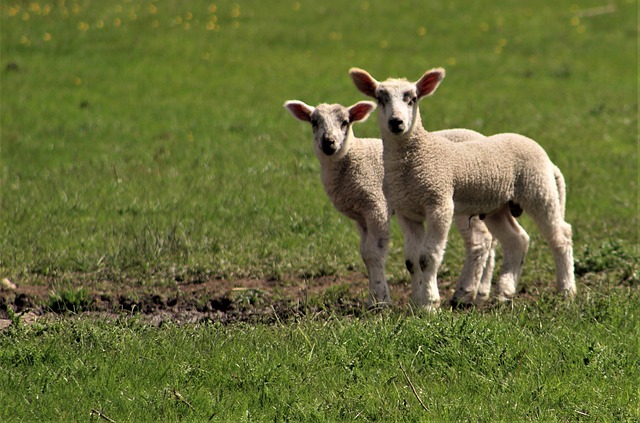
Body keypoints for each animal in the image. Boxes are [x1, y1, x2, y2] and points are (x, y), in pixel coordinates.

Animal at [282, 100, 498, 304]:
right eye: (314, 122)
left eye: (345, 122)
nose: (329, 142)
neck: (350, 159)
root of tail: (483, 137)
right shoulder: (361, 217)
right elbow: (364, 254)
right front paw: (374, 297)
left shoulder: (376, 206)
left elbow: (373, 253)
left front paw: (380, 300)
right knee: (489, 240)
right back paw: (482, 293)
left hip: (469, 198)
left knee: (479, 242)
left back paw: (464, 293)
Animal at [350, 66, 576, 308]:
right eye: (380, 99)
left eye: (412, 99)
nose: (396, 122)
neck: (412, 161)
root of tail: (548, 161)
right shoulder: (406, 211)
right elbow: (411, 261)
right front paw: (417, 301)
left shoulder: (439, 203)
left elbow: (427, 258)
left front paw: (430, 304)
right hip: (497, 205)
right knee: (517, 240)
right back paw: (503, 294)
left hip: (538, 189)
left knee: (561, 236)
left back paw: (566, 290)